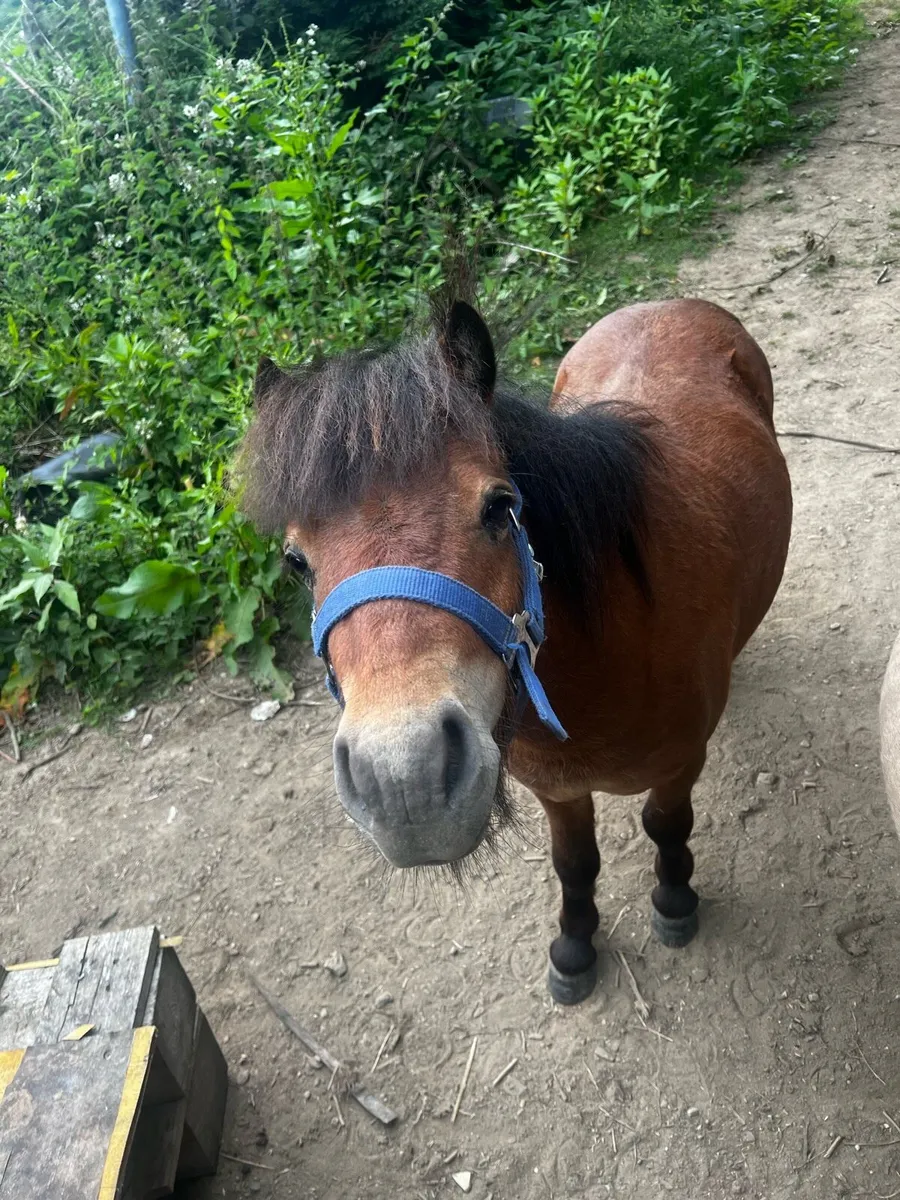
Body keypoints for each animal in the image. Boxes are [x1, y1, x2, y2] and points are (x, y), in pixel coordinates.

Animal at [238, 295, 793, 1005]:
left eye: (500, 509)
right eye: (295, 562)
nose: (404, 782)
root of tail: (669, 304)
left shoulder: (679, 767)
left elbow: (666, 828)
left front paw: (674, 903)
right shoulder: (557, 792)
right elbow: (575, 863)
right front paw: (575, 948)